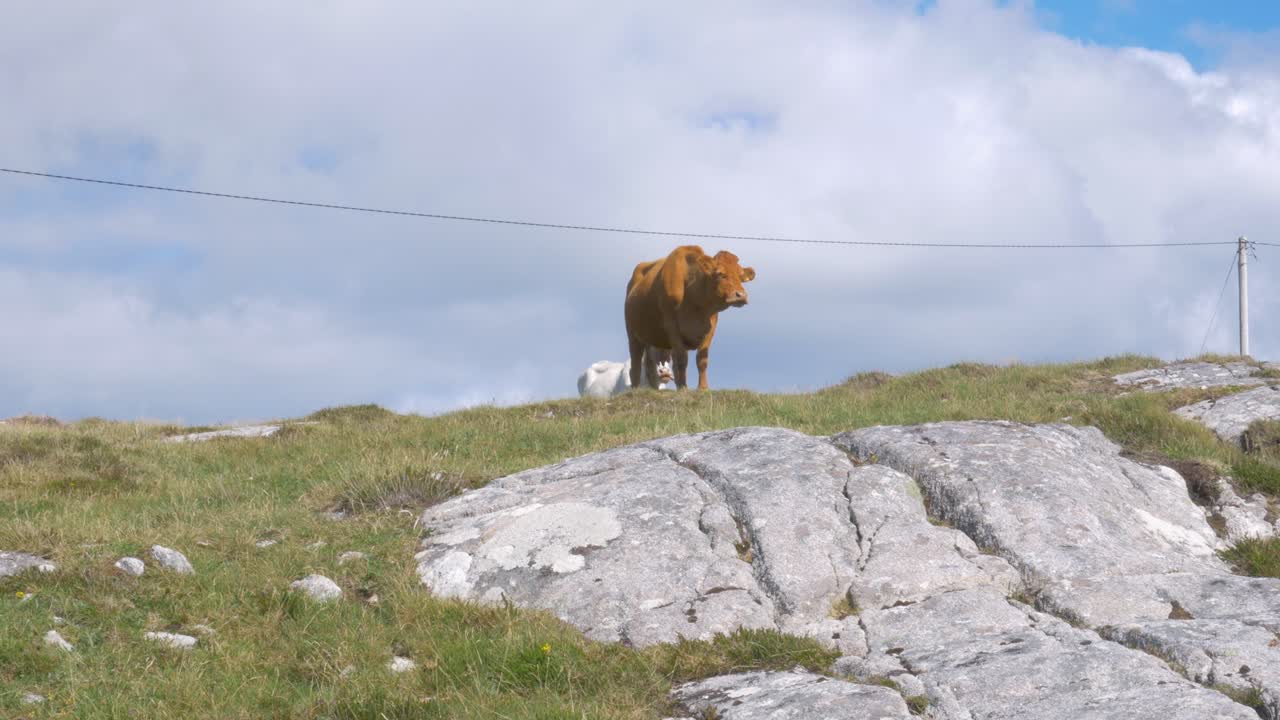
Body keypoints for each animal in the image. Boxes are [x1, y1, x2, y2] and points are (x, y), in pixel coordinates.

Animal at [624, 245, 755, 390]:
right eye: (720, 273)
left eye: (741, 276)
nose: (741, 295)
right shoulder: (672, 327)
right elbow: (682, 360)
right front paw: (684, 388)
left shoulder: (711, 327)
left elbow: (702, 359)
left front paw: (703, 388)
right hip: (632, 333)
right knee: (635, 363)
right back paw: (636, 388)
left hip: (650, 337)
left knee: (650, 365)